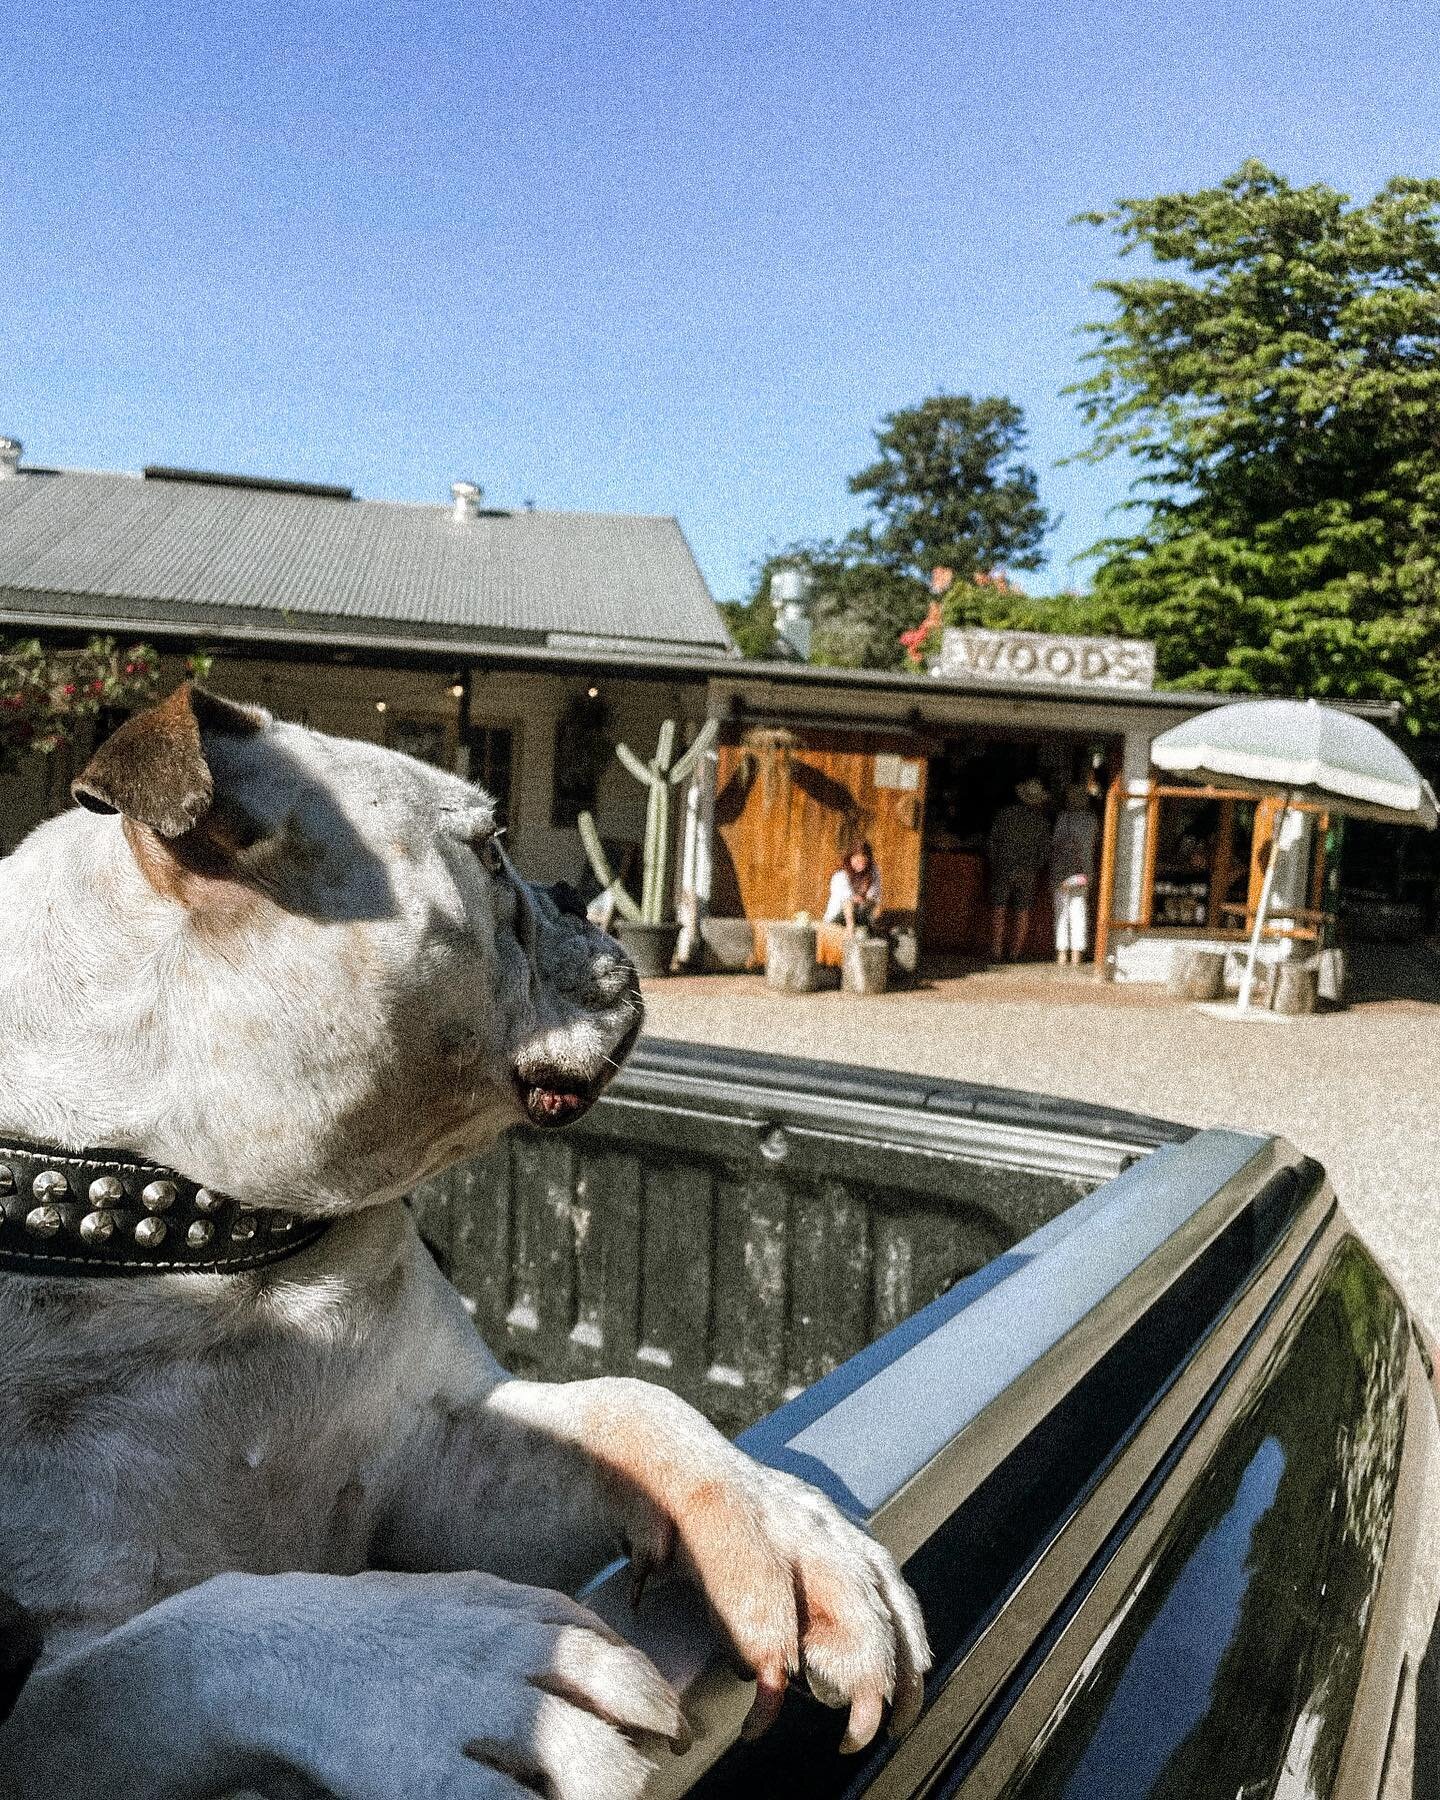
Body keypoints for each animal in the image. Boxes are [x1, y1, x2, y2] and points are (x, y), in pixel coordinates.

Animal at [0, 687, 928, 1800]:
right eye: (488, 850)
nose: (576, 897)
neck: (221, 1236)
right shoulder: (54, 1679)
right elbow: (170, 1644)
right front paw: (458, 1668)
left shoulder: (436, 1456)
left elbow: (631, 1407)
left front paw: (781, 1526)